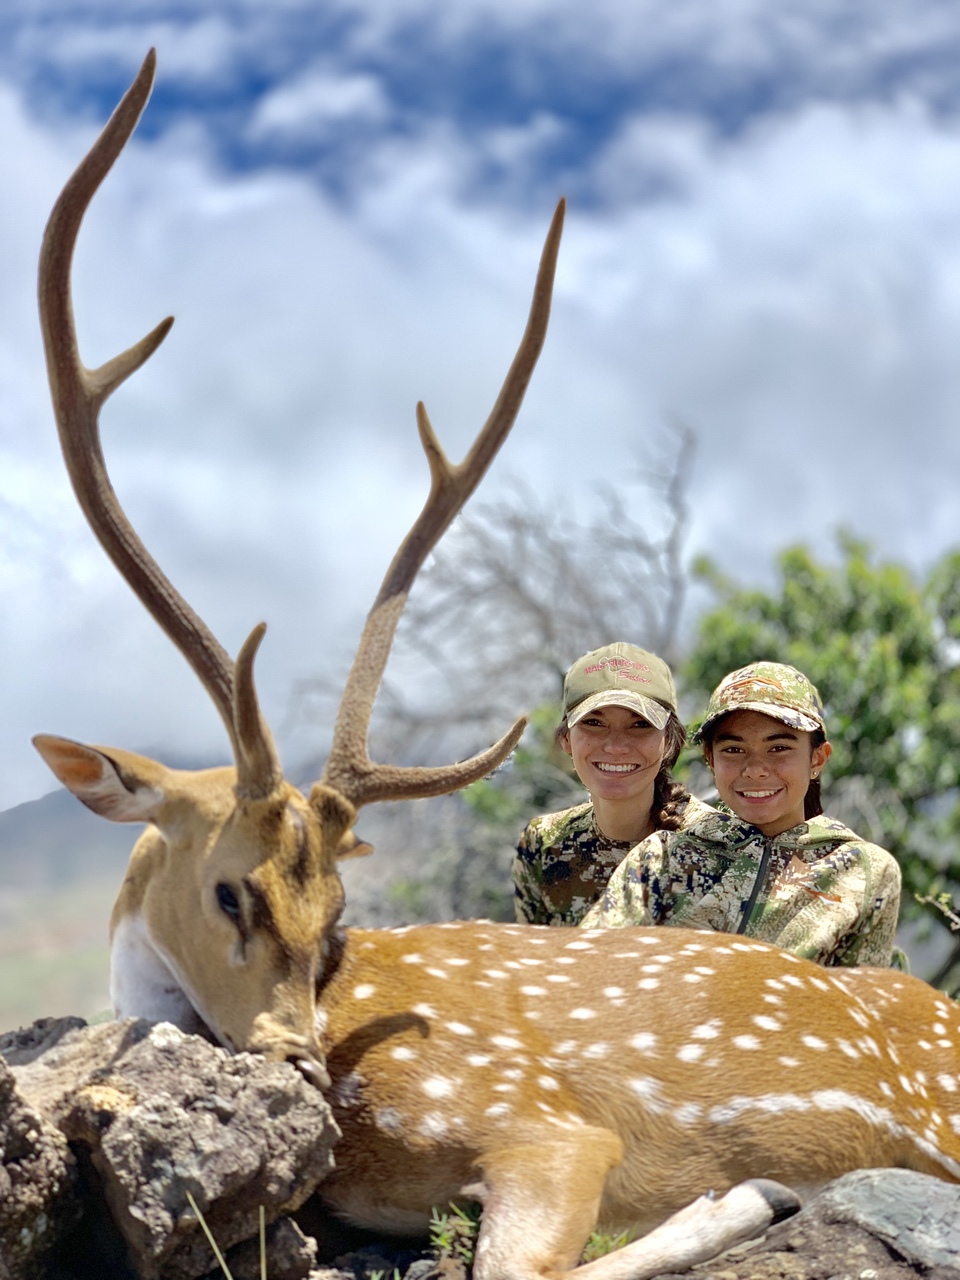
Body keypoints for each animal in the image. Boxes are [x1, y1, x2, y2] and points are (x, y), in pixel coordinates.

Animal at [29, 49, 960, 1280]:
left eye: (335, 911)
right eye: (229, 886)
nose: (300, 1070)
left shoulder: (538, 1118)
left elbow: (522, 1261)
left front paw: (733, 1198)